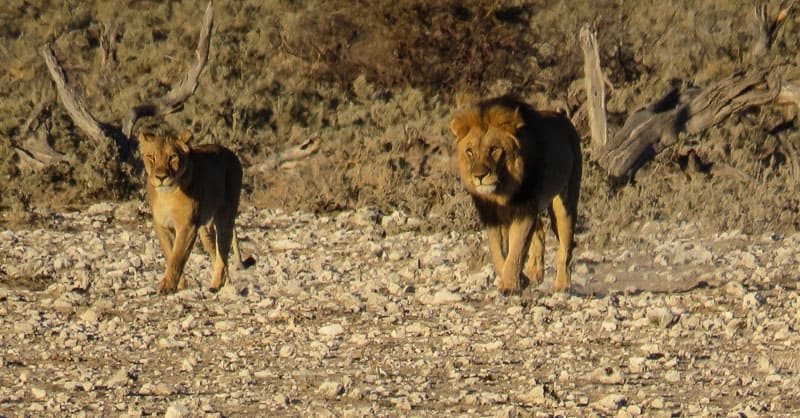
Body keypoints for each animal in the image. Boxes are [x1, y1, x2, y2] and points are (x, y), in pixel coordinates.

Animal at [138, 133, 250, 294]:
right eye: (151, 157)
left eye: (172, 157)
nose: (161, 177)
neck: (167, 195)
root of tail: (230, 152)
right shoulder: (162, 225)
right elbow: (170, 253)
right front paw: (179, 285)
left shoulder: (187, 226)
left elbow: (177, 257)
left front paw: (167, 286)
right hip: (206, 230)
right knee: (215, 254)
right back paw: (224, 283)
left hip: (225, 217)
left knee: (222, 255)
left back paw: (216, 285)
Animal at [450, 96, 580, 294]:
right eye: (469, 151)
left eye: (494, 149)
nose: (479, 176)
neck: (501, 191)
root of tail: (564, 119)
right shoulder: (493, 216)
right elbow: (499, 253)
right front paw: (520, 279)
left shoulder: (524, 209)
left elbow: (516, 250)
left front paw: (510, 285)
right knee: (540, 232)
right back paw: (534, 273)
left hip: (564, 204)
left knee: (565, 247)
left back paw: (562, 285)